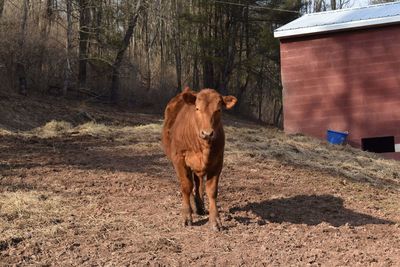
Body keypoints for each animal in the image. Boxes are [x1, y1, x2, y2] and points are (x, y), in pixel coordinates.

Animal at [162, 87, 236, 231]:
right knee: (190, 184)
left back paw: (200, 206)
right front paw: (186, 216)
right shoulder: (179, 158)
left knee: (197, 183)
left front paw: (215, 220)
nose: (207, 133)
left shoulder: (218, 161)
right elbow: (186, 186)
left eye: (219, 109)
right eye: (197, 108)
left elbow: (211, 191)